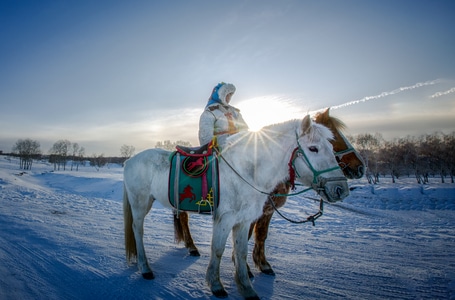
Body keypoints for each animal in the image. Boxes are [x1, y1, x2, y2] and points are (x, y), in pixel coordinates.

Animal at [124, 115, 350, 300]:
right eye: (313, 149)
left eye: (332, 148)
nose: (341, 189)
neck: (247, 171)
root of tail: (130, 160)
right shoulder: (225, 218)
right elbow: (218, 250)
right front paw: (216, 285)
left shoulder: (244, 221)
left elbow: (241, 252)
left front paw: (246, 288)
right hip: (140, 203)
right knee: (138, 230)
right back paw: (145, 268)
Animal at [173, 107, 366, 274]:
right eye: (334, 140)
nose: (360, 168)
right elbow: (247, 236)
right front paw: (245, 267)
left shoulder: (267, 211)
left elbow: (261, 235)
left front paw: (262, 263)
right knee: (183, 217)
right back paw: (191, 246)